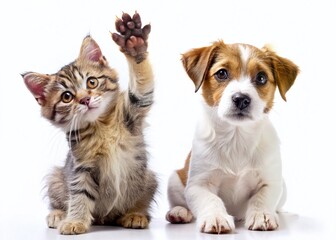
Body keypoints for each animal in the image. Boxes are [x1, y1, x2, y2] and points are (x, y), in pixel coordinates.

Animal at [21, 11, 158, 234]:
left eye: (92, 82)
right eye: (67, 97)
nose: (85, 99)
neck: (101, 125)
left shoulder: (136, 106)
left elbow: (142, 80)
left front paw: (133, 41)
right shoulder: (81, 167)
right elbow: (79, 195)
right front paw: (75, 221)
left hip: (149, 178)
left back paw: (135, 215)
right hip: (56, 177)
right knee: (58, 200)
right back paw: (58, 215)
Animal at [165, 40, 300, 233]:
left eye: (261, 77)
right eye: (221, 73)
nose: (241, 99)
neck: (236, 137)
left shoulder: (270, 181)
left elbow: (261, 198)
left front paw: (262, 215)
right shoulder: (198, 184)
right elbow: (211, 199)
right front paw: (216, 217)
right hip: (174, 180)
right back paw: (179, 212)